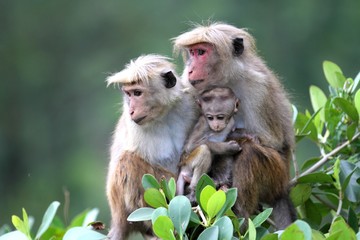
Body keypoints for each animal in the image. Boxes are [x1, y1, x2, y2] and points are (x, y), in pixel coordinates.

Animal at [106, 54, 195, 240]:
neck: (163, 115)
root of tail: (118, 218)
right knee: (128, 161)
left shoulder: (190, 103)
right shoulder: (135, 127)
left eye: (137, 93)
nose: (131, 110)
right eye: (128, 94)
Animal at [173, 23, 296, 231]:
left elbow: (271, 142)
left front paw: (238, 138)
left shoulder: (258, 87)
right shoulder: (191, 88)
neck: (226, 80)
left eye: (201, 52)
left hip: (277, 176)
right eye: (192, 53)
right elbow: (190, 147)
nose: (190, 69)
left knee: (251, 152)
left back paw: (241, 216)